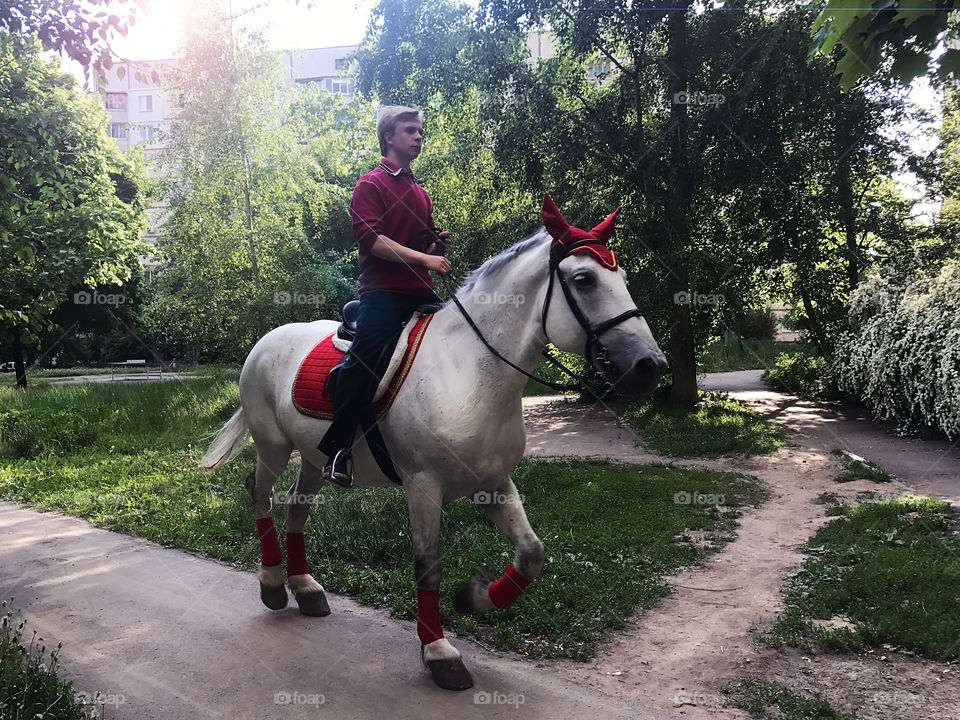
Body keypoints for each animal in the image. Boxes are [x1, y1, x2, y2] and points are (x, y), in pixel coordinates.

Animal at [200, 193, 668, 690]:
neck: (469, 371)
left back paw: (305, 588)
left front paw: (474, 597)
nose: (651, 365)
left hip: (313, 457)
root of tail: (266, 340)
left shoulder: (493, 483)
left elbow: (531, 555)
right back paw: (272, 584)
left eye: (624, 278)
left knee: (295, 506)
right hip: (273, 446)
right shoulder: (423, 486)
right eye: (583, 279)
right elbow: (428, 563)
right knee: (260, 493)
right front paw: (439, 651)